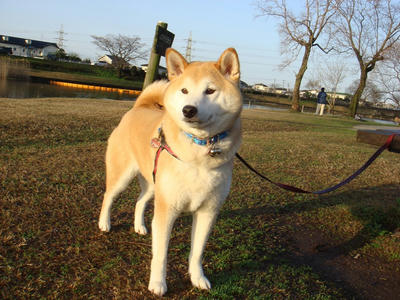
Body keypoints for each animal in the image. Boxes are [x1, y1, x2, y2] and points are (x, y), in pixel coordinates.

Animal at [98, 47, 242, 296]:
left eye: (210, 90)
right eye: (184, 91)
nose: (188, 109)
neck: (199, 152)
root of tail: (138, 107)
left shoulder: (208, 212)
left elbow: (197, 253)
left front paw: (198, 278)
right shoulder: (167, 211)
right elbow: (160, 255)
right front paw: (157, 283)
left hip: (153, 185)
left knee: (139, 201)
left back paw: (139, 226)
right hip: (123, 177)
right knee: (109, 196)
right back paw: (104, 223)